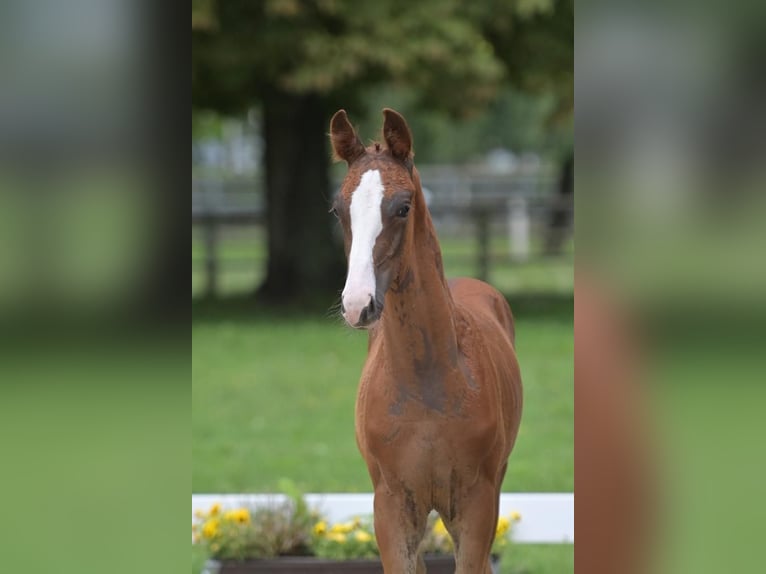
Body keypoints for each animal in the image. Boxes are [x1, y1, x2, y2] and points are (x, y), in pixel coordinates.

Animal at [328, 109, 520, 574]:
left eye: (403, 206)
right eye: (338, 209)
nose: (357, 304)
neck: (426, 387)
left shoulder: (477, 505)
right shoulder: (391, 507)